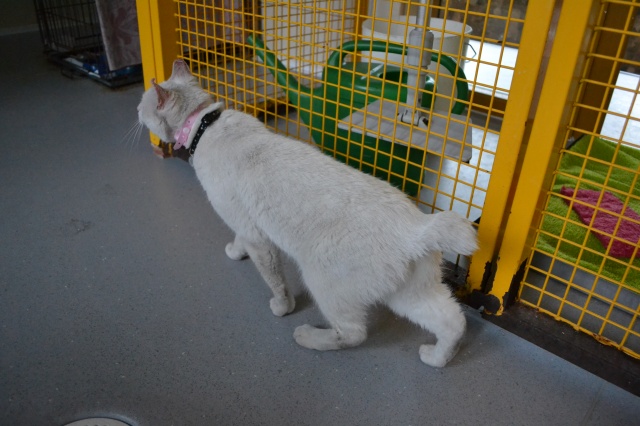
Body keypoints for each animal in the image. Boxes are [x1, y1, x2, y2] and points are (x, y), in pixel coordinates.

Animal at [137, 59, 478, 367]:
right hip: (409, 296)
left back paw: (306, 336)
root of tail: (417, 231)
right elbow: (239, 242)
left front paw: (281, 306)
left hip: (321, 279)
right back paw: (436, 358)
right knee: (454, 321)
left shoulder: (256, 236)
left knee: (354, 333)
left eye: (142, 106)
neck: (205, 125)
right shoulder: (246, 226)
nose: (136, 113)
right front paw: (235, 252)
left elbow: (275, 281)